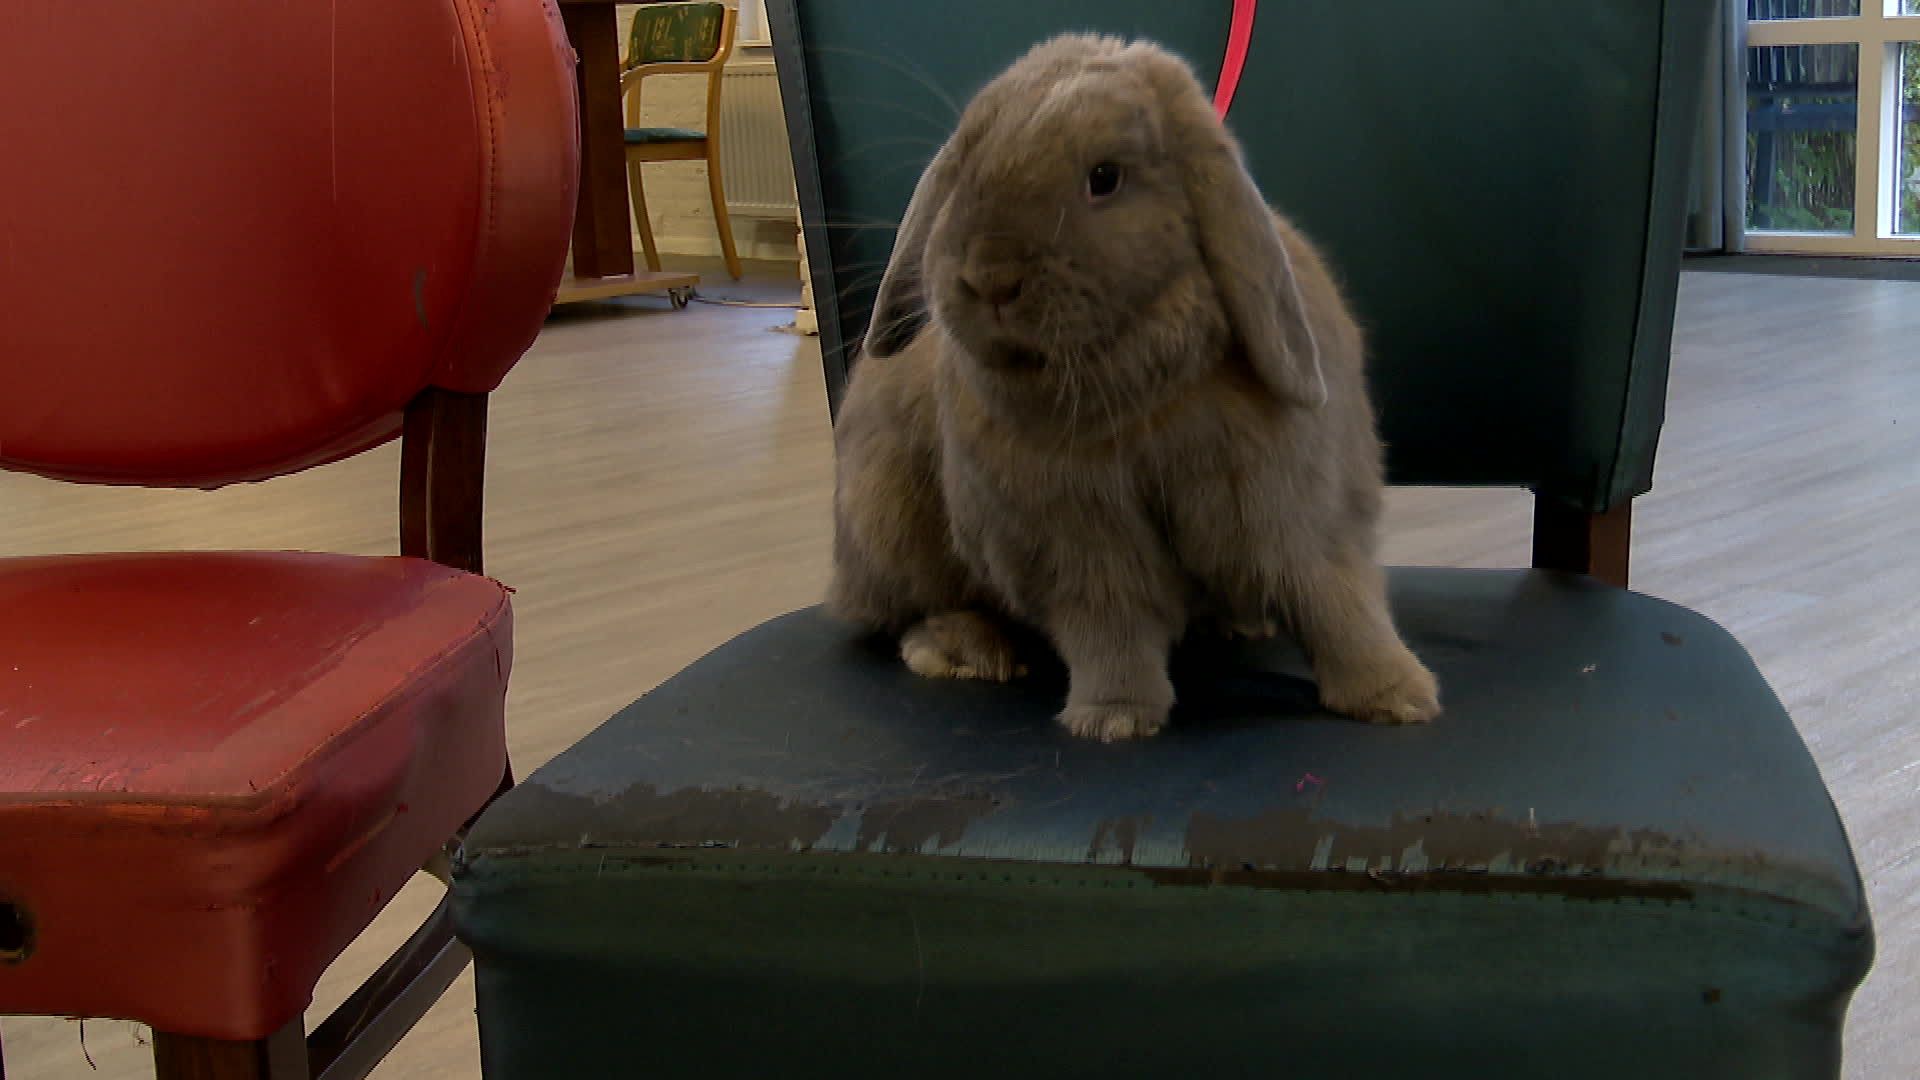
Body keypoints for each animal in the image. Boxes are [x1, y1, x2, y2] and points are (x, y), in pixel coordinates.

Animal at [825, 33, 1443, 737]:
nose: (989, 277)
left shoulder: (1298, 510)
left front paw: (1398, 698)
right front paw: (1114, 718)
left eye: (1105, 178)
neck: (1143, 392)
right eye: (964, 170)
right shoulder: (1077, 545)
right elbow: (1110, 628)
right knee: (909, 611)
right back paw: (964, 649)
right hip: (888, 524)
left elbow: (1339, 604)